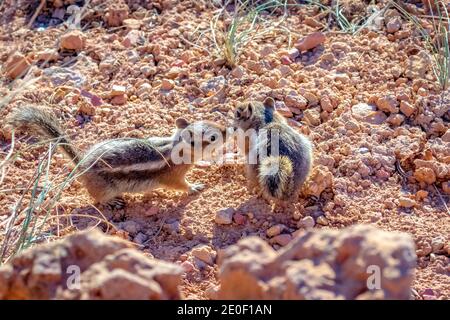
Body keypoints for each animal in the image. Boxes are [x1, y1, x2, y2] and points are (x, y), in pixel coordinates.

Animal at [5, 106, 227, 209]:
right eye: (213, 137)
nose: (228, 130)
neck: (176, 148)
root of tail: (81, 166)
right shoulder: (172, 176)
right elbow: (180, 185)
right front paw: (194, 187)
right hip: (104, 188)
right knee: (97, 198)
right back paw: (111, 203)